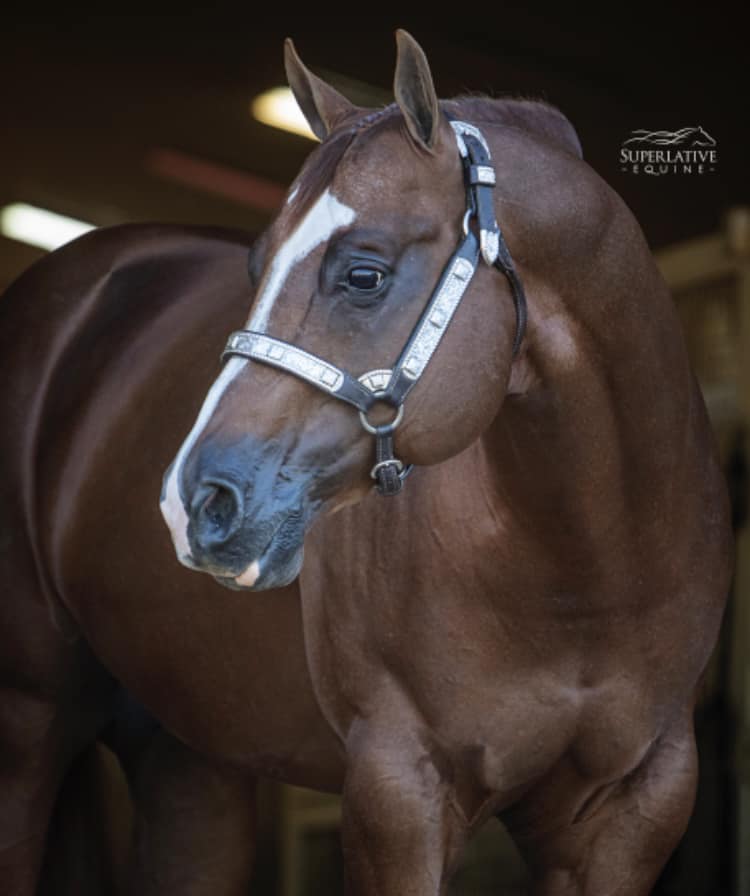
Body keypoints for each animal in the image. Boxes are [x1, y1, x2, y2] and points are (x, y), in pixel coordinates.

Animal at [0, 28, 736, 896]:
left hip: (189, 758)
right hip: (27, 724)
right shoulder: (397, 792)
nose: (194, 502)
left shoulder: (632, 813)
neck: (582, 575)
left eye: (363, 273)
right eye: (257, 268)